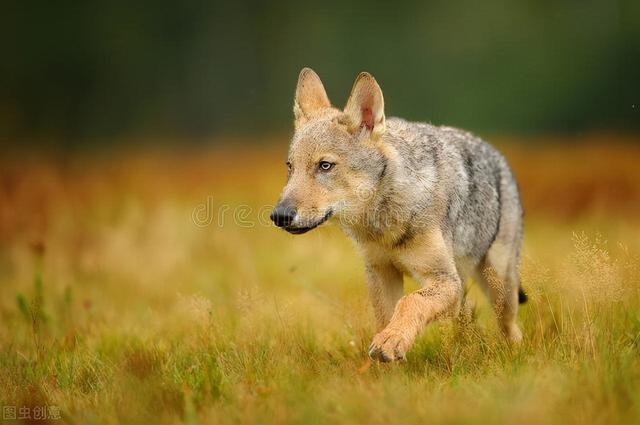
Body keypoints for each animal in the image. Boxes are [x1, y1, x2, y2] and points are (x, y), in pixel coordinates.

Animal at [270, 68, 524, 360]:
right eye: (290, 167)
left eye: (325, 166)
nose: (279, 215)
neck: (384, 223)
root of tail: (497, 155)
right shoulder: (382, 273)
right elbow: (385, 317)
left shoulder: (445, 280)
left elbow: (410, 302)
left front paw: (391, 341)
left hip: (498, 286)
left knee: (510, 329)